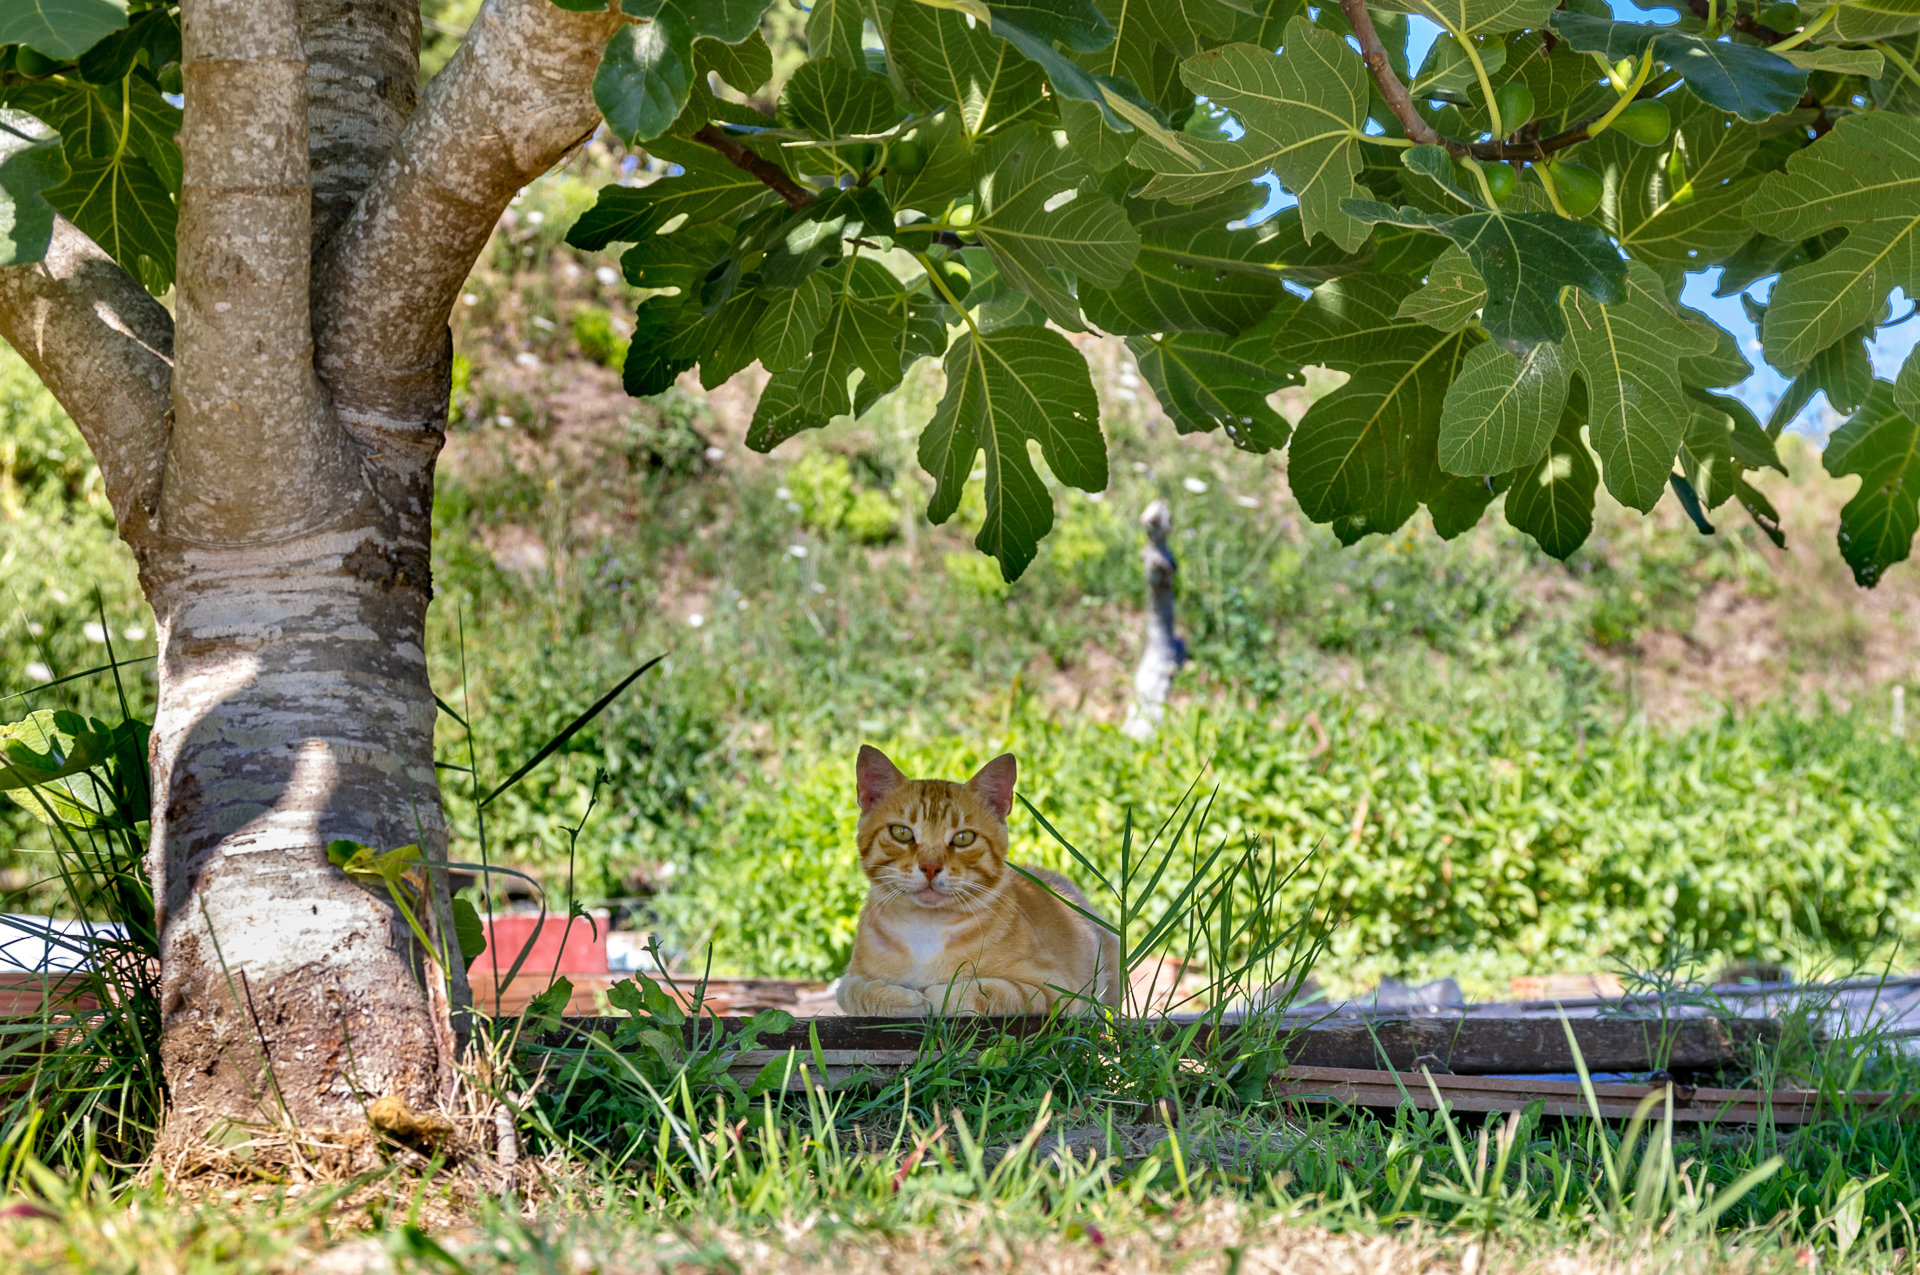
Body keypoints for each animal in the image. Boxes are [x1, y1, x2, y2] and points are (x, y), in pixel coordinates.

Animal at [829, 748, 1121, 1013]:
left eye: (963, 838)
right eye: (901, 832)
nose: (930, 867)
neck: (925, 929)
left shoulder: (1057, 989)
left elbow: (987, 992)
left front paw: (935, 995)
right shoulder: (849, 980)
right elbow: (857, 993)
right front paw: (905, 999)